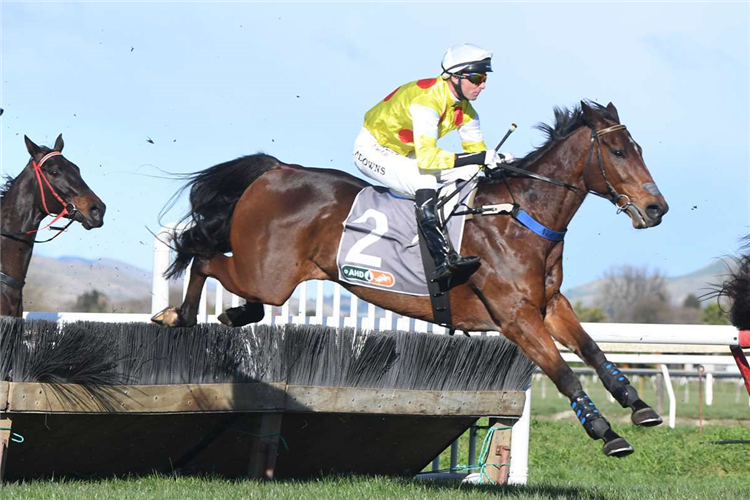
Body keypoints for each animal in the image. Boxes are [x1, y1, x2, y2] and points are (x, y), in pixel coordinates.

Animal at [153, 101, 668, 458]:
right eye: (618, 151)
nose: (656, 208)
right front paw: (606, 433)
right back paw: (177, 315)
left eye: (640, 150)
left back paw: (233, 313)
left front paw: (638, 405)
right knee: (203, 259)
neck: (519, 217)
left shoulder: (550, 304)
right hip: (267, 274)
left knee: (222, 273)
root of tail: (276, 170)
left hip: (268, 276)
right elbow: (562, 371)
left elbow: (593, 351)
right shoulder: (515, 316)